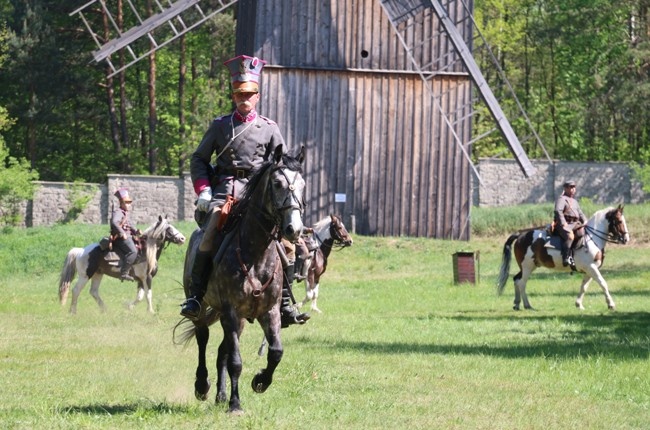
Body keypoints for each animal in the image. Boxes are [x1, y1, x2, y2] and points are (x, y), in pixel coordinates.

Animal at [496, 205, 628, 310]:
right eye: (619, 221)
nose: (626, 239)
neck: (591, 238)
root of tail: (521, 235)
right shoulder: (591, 268)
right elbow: (603, 283)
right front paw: (611, 304)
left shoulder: (590, 270)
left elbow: (584, 287)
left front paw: (579, 304)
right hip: (527, 267)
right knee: (522, 283)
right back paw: (527, 305)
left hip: (528, 267)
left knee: (516, 280)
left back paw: (517, 304)